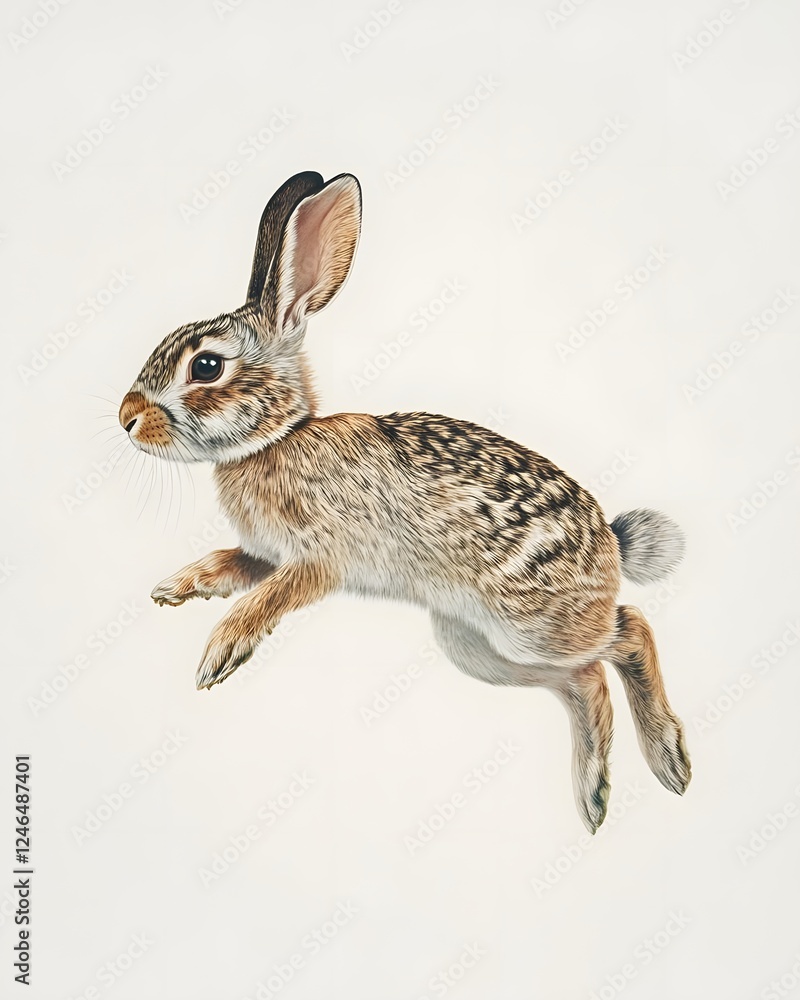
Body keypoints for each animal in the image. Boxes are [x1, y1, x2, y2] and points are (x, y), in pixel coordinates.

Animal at [119, 170, 690, 832]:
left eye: (207, 366)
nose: (125, 418)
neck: (277, 438)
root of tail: (614, 548)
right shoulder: (263, 552)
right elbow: (228, 565)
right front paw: (175, 587)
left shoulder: (320, 559)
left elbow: (271, 596)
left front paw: (221, 649)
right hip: (475, 646)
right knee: (587, 679)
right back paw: (594, 794)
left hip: (534, 627)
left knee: (631, 629)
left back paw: (668, 759)